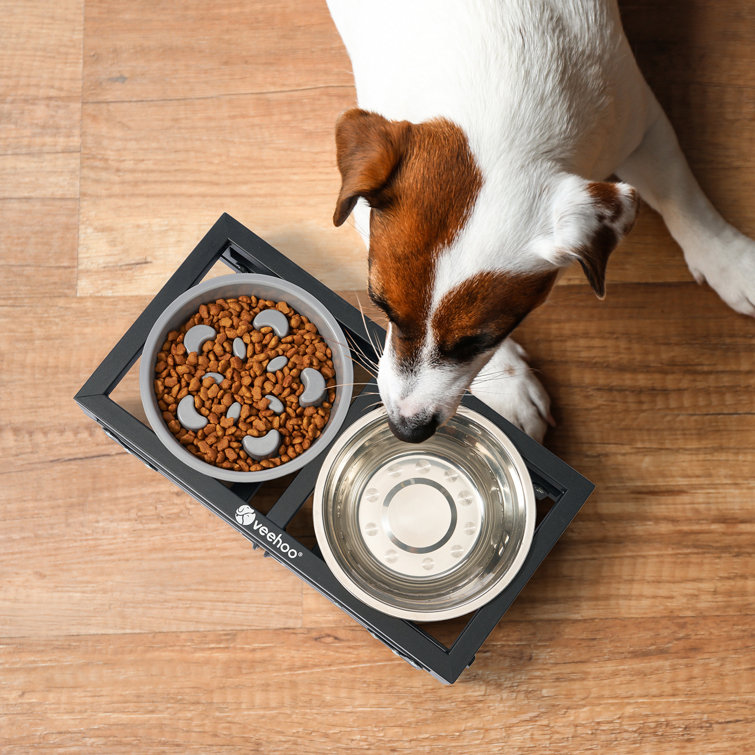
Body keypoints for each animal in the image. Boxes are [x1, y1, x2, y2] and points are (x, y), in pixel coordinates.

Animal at [326, 0, 755, 442]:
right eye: (380, 305)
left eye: (479, 340)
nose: (406, 428)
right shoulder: (359, 213)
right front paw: (509, 384)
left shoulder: (639, 120)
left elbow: (680, 196)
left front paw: (727, 259)